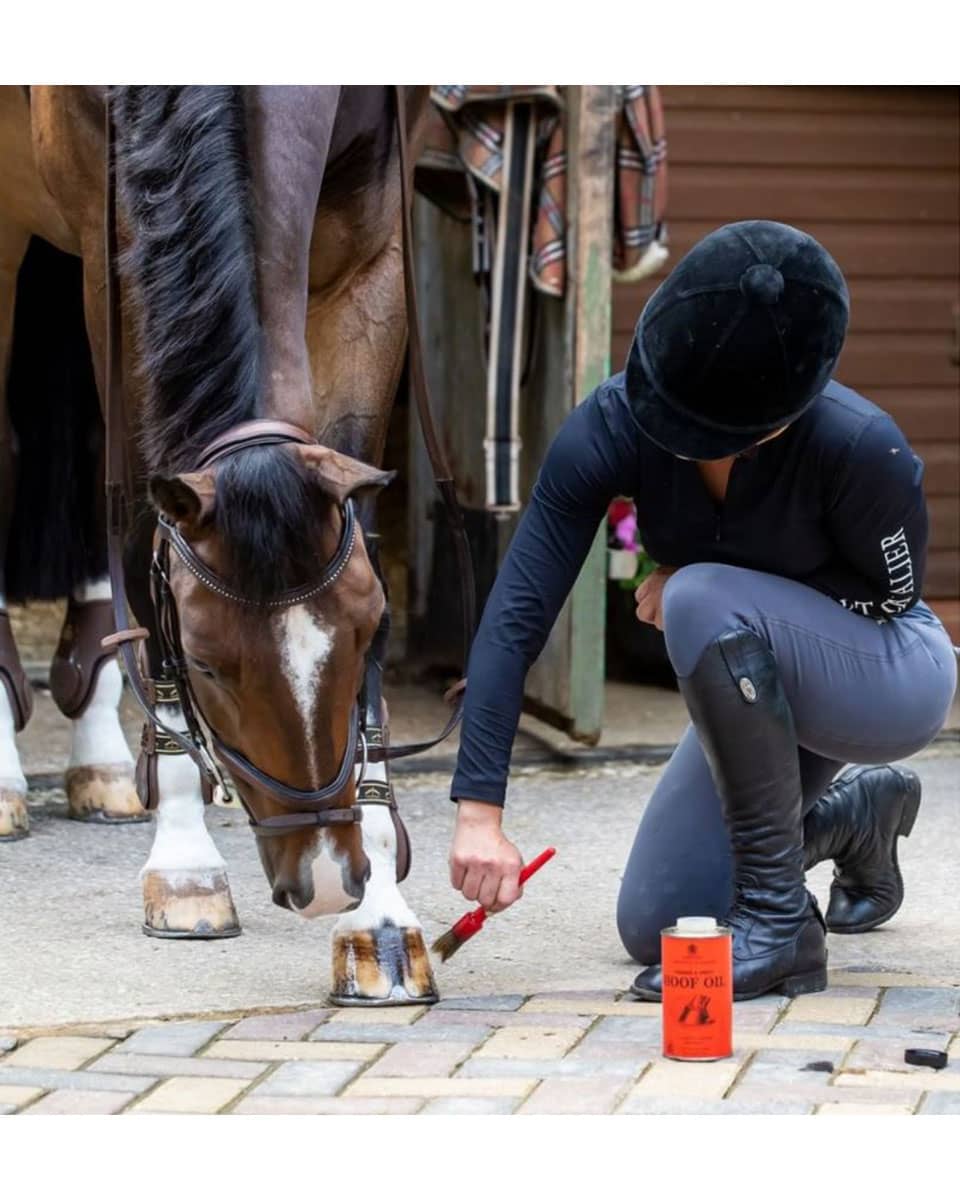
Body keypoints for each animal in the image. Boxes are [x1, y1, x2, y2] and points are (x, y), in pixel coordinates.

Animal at [0, 84, 439, 1003]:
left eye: (369, 632)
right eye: (202, 661)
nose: (325, 880)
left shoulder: (374, 241)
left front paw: (379, 915)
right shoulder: (110, 251)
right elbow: (139, 515)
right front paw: (186, 863)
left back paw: (98, 760)